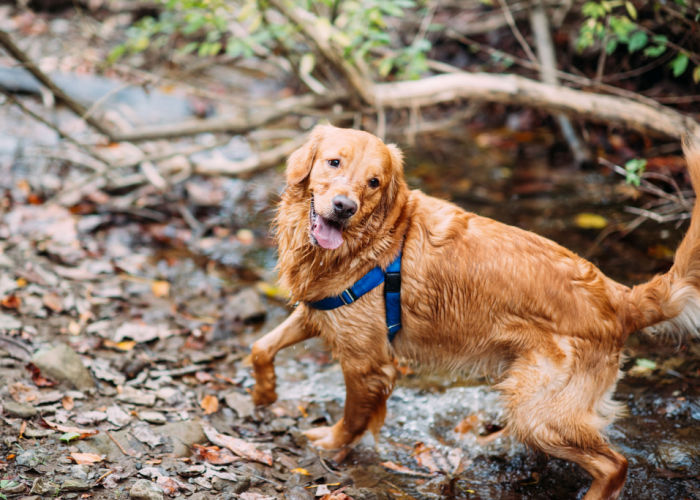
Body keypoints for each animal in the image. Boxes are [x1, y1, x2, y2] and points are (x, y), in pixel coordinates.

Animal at [249, 124, 696, 496]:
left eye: (374, 182)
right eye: (333, 161)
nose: (344, 207)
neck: (373, 242)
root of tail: (618, 297)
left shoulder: (367, 363)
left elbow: (353, 418)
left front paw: (329, 443)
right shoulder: (320, 311)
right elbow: (260, 347)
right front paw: (265, 393)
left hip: (541, 411)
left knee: (614, 464)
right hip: (530, 400)